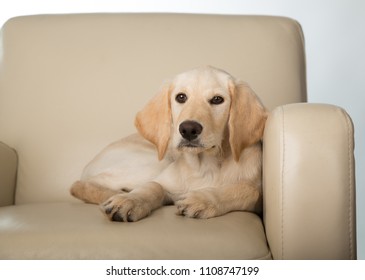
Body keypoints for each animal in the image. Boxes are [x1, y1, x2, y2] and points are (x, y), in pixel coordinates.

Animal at [69, 65, 266, 221]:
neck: (204, 166)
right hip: (156, 161)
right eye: (181, 97)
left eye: (217, 99)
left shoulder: (258, 195)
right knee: (79, 184)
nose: (188, 129)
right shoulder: (165, 181)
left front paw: (202, 199)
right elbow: (153, 185)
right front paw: (130, 200)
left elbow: (247, 189)